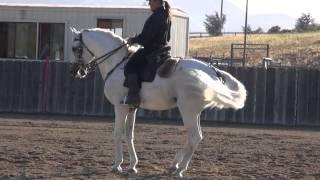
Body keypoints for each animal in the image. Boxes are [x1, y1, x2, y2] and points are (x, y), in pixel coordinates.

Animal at [69, 28, 245, 177]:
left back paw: (179, 169)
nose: (75, 72)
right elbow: (129, 134)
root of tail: (212, 70)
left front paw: (117, 165)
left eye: (75, 48)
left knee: (195, 137)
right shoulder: (131, 107)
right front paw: (132, 165)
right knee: (192, 138)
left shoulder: (120, 107)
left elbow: (117, 133)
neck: (117, 63)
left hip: (187, 110)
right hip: (194, 112)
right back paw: (174, 165)